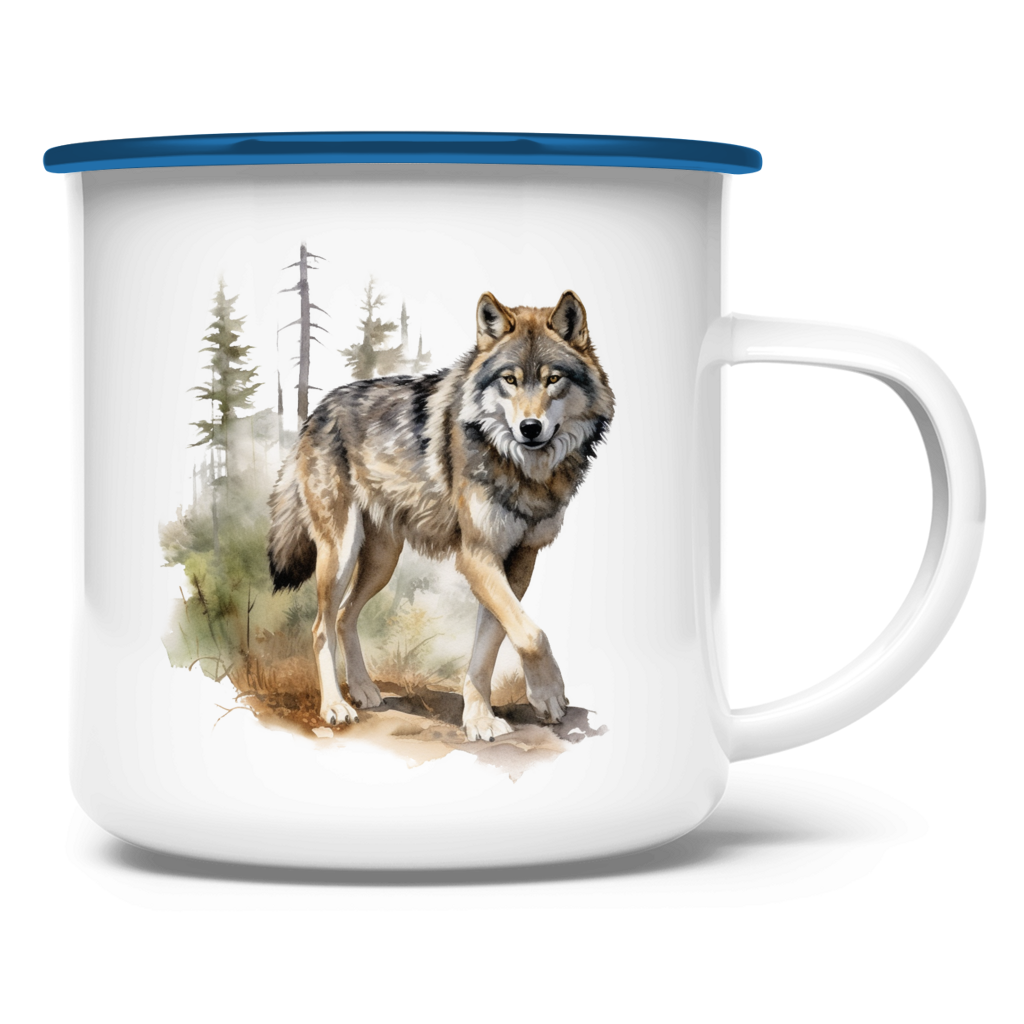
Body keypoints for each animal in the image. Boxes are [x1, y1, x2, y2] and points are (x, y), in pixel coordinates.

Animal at [267, 289, 615, 741]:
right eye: (510, 380)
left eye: (553, 379)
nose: (530, 427)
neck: (524, 471)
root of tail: (317, 409)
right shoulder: (477, 556)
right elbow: (533, 634)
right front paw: (550, 693)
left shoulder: (519, 562)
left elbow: (494, 643)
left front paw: (479, 718)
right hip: (340, 554)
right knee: (321, 627)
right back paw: (335, 706)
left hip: (382, 561)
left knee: (344, 617)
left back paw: (363, 690)